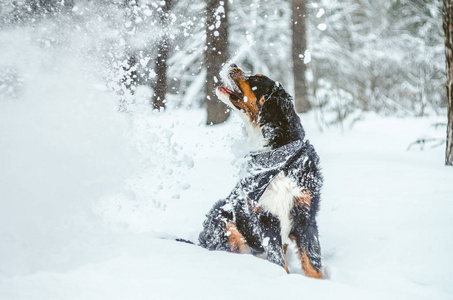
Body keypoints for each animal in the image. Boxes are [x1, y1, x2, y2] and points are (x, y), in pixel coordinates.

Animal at [198, 64, 322, 278]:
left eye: (256, 80)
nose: (233, 65)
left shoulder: (305, 214)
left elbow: (313, 263)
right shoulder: (266, 217)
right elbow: (278, 260)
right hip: (222, 220)